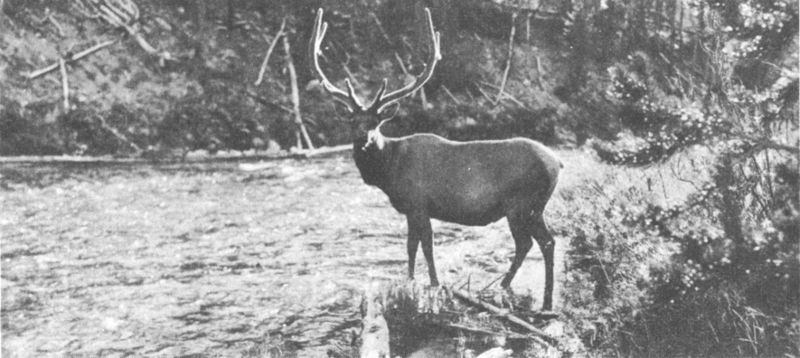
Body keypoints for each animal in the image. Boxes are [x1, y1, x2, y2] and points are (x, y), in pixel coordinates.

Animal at [306, 8, 564, 310]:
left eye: (376, 123)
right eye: (352, 122)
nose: (363, 139)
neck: (390, 170)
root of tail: (558, 163)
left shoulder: (418, 202)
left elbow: (424, 245)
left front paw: (433, 282)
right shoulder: (411, 208)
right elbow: (411, 245)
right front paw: (410, 280)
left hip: (523, 203)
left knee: (537, 243)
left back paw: (530, 294)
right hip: (532, 207)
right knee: (537, 243)